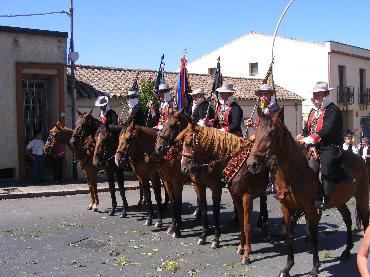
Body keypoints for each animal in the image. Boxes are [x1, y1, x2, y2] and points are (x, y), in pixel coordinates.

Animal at [178, 124, 268, 262]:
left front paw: (216, 239)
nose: (184, 169)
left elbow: (216, 211)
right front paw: (203, 235)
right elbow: (204, 209)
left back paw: (260, 224)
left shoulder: (216, 187)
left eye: (188, 143)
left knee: (263, 202)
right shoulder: (199, 186)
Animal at [244, 108, 368, 276]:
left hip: (362, 196)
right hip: (340, 200)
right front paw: (287, 267)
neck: (295, 172)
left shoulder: (310, 209)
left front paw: (315, 267)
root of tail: (360, 159)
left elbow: (314, 236)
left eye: (271, 134)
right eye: (256, 132)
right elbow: (290, 236)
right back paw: (347, 251)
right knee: (348, 219)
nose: (252, 164)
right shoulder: (286, 208)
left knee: (366, 220)